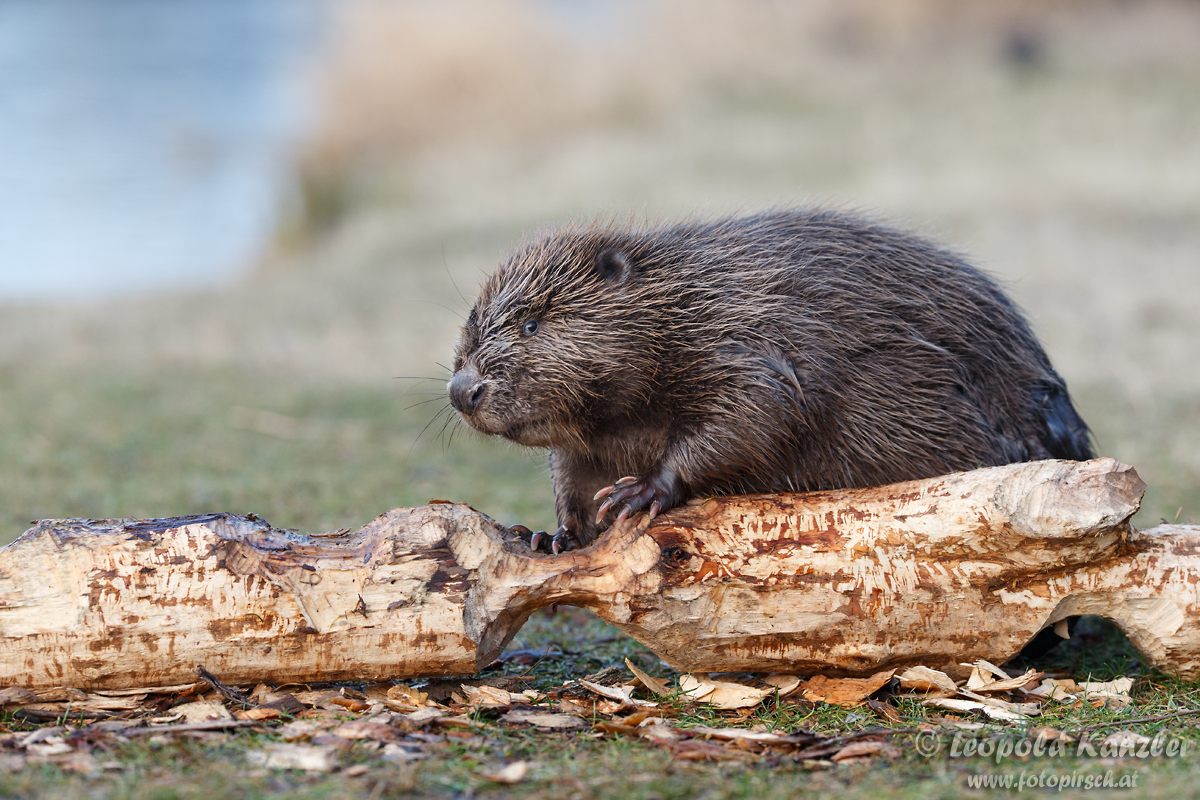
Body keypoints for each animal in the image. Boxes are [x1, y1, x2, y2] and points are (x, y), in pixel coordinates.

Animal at [446, 209, 1094, 554]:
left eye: (532, 321)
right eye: (472, 323)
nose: (462, 390)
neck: (681, 304)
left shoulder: (751, 343)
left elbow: (758, 413)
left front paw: (638, 493)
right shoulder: (591, 433)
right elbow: (572, 474)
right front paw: (552, 536)